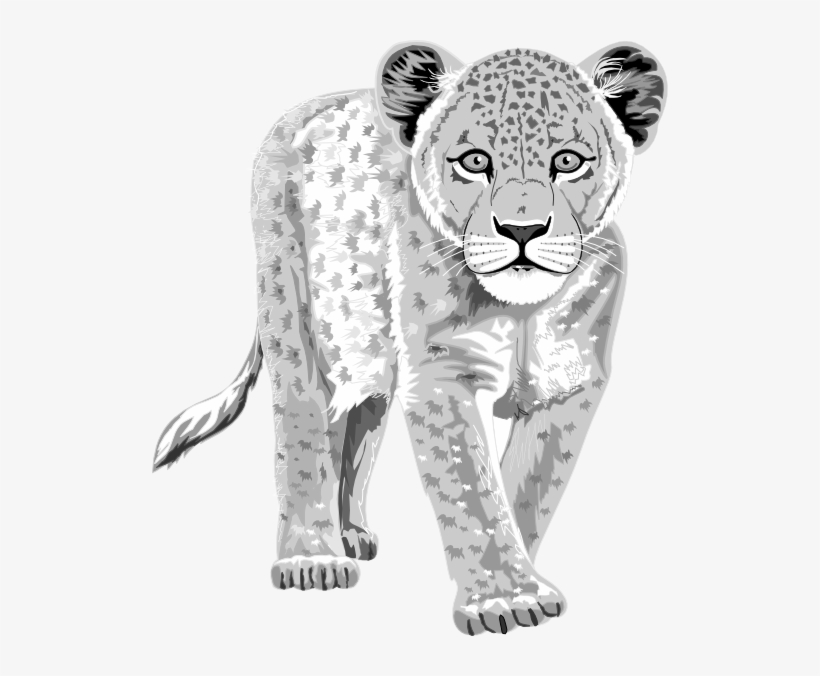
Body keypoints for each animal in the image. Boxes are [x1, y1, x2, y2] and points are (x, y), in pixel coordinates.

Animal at [154, 41, 667, 635]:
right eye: (474, 162)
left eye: (567, 162)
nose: (521, 230)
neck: (521, 310)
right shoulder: (442, 373)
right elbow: (470, 488)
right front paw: (504, 599)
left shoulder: (568, 383)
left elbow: (530, 486)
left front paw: (519, 577)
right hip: (293, 309)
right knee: (303, 423)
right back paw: (312, 557)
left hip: (369, 355)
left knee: (353, 425)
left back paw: (350, 533)